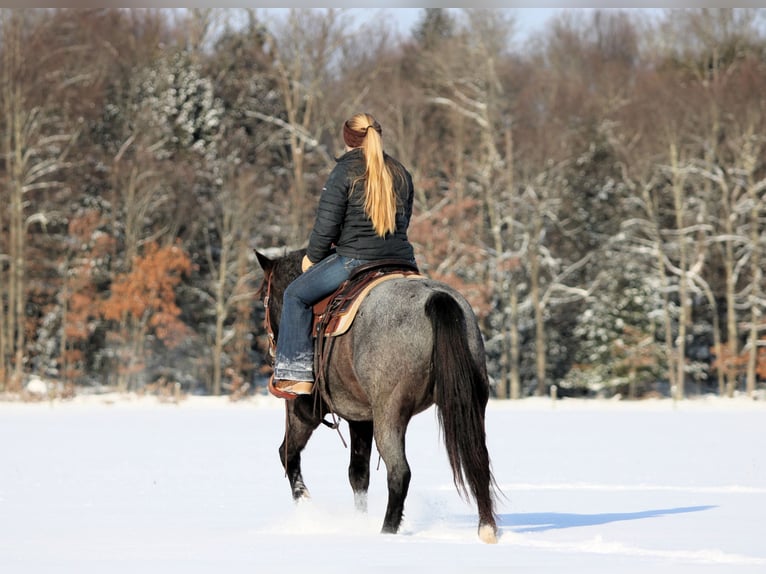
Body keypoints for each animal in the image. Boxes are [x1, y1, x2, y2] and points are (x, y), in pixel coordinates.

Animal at [255, 248, 500, 544]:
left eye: (263, 295)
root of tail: (436, 299)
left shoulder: (304, 409)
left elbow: (288, 453)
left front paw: (306, 506)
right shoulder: (361, 418)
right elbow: (358, 474)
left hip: (389, 413)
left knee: (399, 472)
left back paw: (386, 532)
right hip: (471, 403)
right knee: (479, 460)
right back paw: (487, 529)